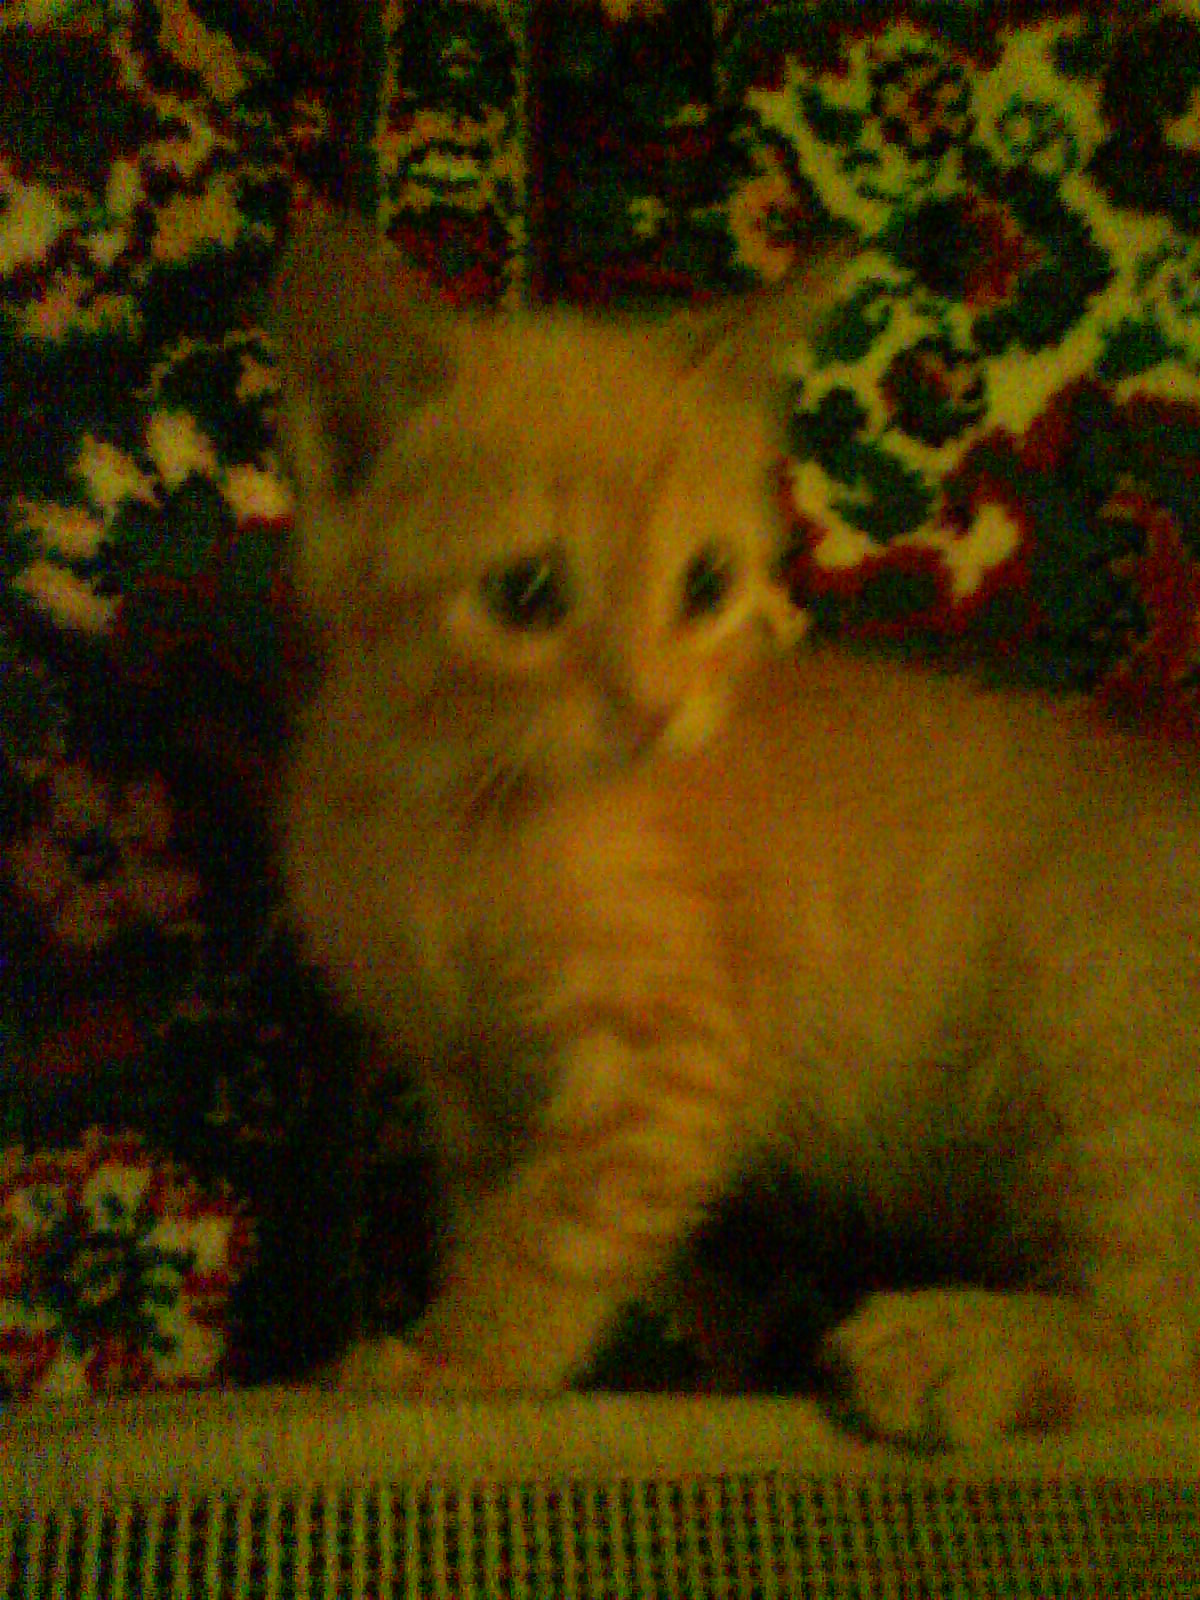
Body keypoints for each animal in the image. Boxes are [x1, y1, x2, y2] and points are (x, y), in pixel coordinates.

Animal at [269, 207, 1200, 1449]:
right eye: (527, 595)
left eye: (706, 583)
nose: (654, 707)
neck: (451, 807)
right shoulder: (469, 1072)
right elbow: (489, 1207)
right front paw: (453, 1334)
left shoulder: (672, 1057)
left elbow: (555, 1229)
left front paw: (463, 1360)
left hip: (1093, 1024)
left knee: (1168, 1329)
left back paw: (962, 1346)